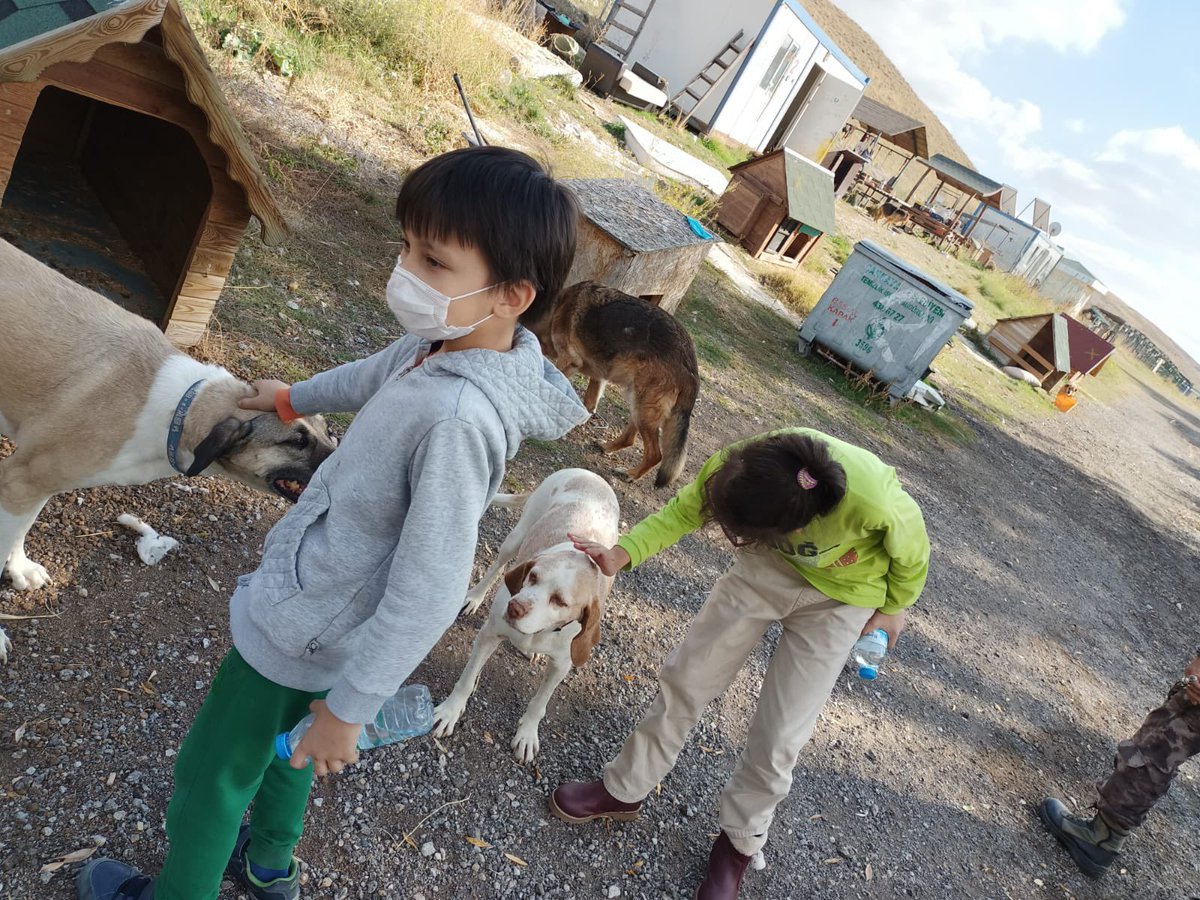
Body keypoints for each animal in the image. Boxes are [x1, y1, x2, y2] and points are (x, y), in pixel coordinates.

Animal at [0, 237, 338, 662]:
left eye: (329, 431)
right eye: (296, 441)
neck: (181, 407)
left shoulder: (34, 482)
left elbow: (20, 530)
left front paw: (19, 568)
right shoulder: (21, 479)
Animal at [434, 468, 619, 763]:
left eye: (560, 601)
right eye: (532, 577)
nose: (514, 608)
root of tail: (590, 475)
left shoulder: (561, 665)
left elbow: (540, 703)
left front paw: (527, 734)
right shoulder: (489, 635)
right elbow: (466, 678)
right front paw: (451, 711)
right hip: (515, 539)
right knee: (497, 567)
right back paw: (475, 597)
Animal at [532, 283, 696, 489]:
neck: (557, 306)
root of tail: (691, 367)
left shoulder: (568, 360)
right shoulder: (599, 376)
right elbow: (589, 402)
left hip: (643, 407)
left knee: (655, 454)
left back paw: (631, 474)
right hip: (638, 404)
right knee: (630, 439)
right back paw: (607, 447)